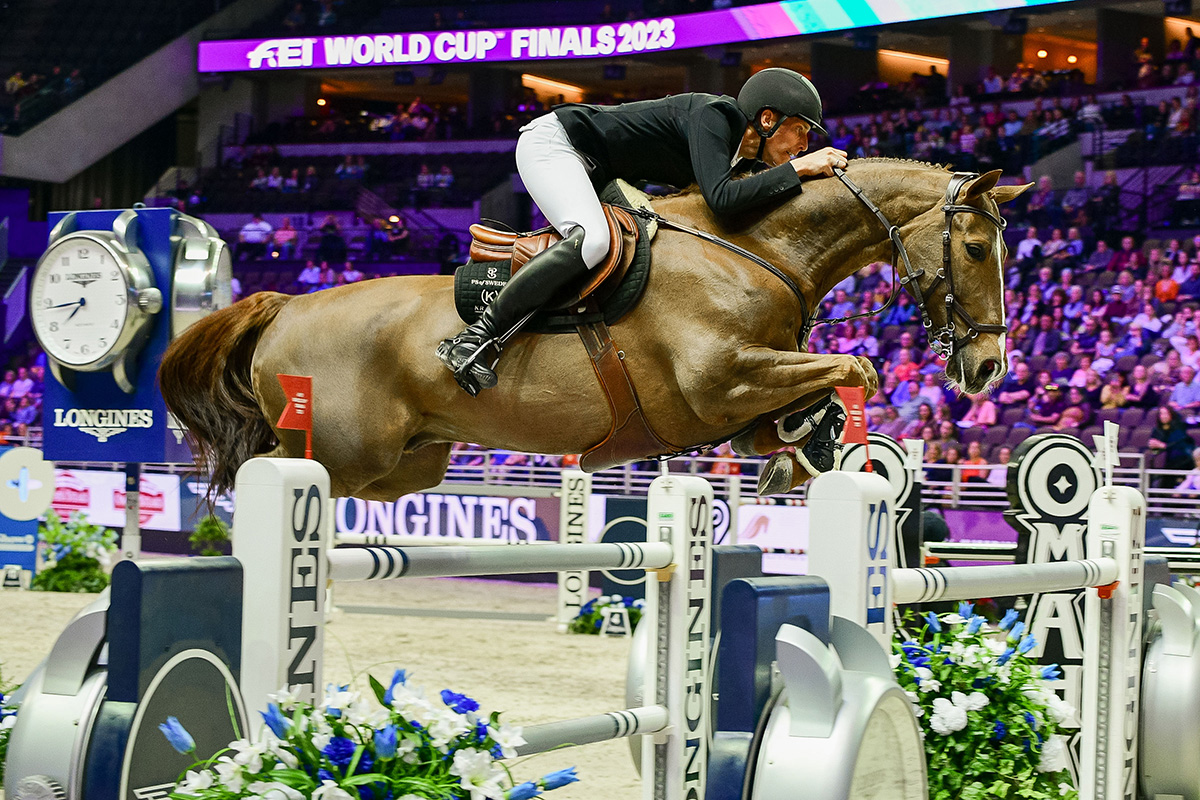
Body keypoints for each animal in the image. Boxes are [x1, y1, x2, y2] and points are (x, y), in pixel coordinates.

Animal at [159, 158, 1032, 501]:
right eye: (974, 248)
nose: (989, 368)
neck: (754, 246)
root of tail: (284, 304)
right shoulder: (718, 381)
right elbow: (859, 370)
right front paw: (821, 445)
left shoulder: (735, 396)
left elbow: (815, 392)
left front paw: (799, 449)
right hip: (340, 453)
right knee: (260, 476)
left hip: (404, 464)